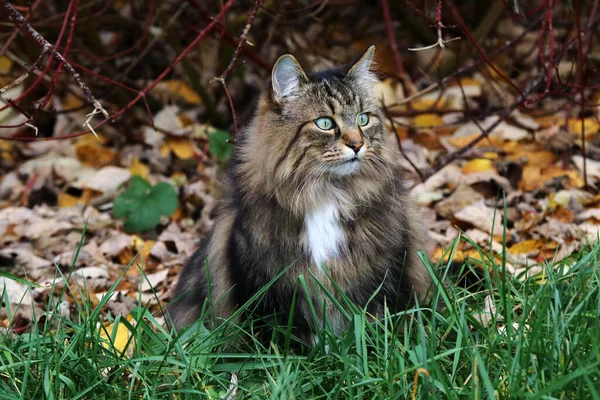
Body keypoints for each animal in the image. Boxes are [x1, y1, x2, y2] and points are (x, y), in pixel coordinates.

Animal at [169, 47, 432, 340]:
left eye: (363, 119)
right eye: (325, 123)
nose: (357, 145)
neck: (326, 193)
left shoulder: (385, 278)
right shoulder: (263, 288)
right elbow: (279, 341)